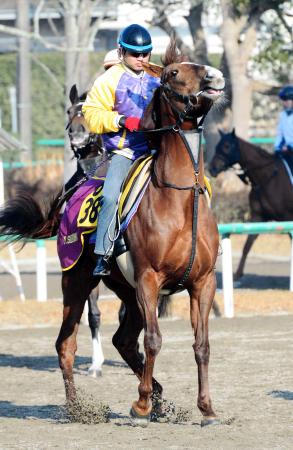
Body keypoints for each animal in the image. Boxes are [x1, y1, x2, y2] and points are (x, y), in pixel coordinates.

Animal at [0, 44, 224, 428]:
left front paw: (206, 409)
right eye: (173, 73)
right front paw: (142, 406)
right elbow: (154, 340)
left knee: (123, 339)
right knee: (66, 343)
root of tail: (69, 196)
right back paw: (78, 407)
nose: (215, 76)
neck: (179, 200)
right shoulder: (149, 279)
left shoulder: (202, 282)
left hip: (126, 290)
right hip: (77, 281)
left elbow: (202, 344)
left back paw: (159, 396)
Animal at [209, 128, 292, 280]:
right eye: (217, 147)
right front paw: (237, 274)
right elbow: (248, 244)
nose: (212, 168)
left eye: (227, 146)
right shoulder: (258, 217)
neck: (267, 179)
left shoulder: (288, 217)